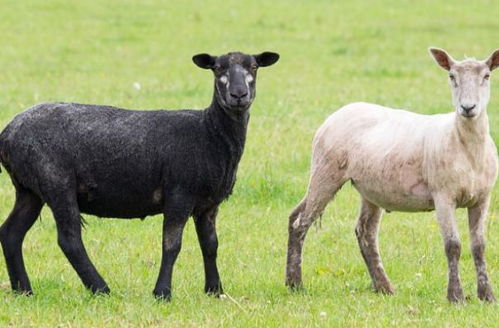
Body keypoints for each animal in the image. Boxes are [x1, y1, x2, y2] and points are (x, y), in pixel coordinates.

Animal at [0, 50, 282, 300]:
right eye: (218, 68)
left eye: (254, 67)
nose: (239, 95)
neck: (209, 132)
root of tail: (7, 134)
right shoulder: (179, 193)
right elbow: (172, 245)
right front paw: (162, 293)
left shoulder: (208, 204)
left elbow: (210, 245)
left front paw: (215, 291)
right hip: (56, 181)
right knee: (69, 239)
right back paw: (101, 289)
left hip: (29, 188)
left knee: (11, 233)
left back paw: (23, 291)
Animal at [286, 48, 499, 302]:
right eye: (451, 77)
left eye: (486, 76)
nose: (468, 108)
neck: (466, 147)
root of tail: (339, 112)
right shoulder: (443, 196)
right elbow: (453, 246)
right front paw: (456, 296)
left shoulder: (482, 198)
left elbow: (479, 246)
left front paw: (487, 296)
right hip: (325, 170)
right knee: (301, 222)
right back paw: (296, 283)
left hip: (369, 188)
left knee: (363, 231)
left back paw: (384, 287)